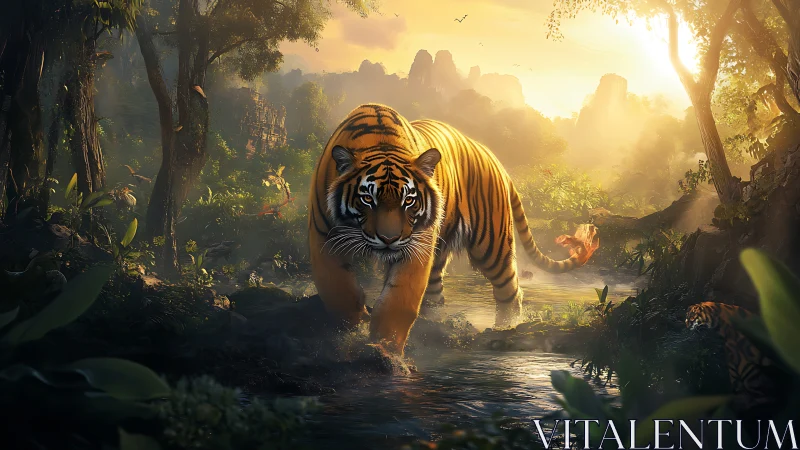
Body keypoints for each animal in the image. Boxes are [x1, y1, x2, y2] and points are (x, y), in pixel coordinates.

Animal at [308, 104, 599, 355]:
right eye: (368, 198)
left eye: (409, 200)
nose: (389, 239)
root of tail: (493, 157)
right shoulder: (324, 238)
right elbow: (339, 290)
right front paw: (351, 332)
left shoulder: (415, 247)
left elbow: (398, 299)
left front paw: (384, 347)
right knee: (436, 293)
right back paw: (435, 324)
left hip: (491, 246)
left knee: (510, 290)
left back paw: (505, 329)